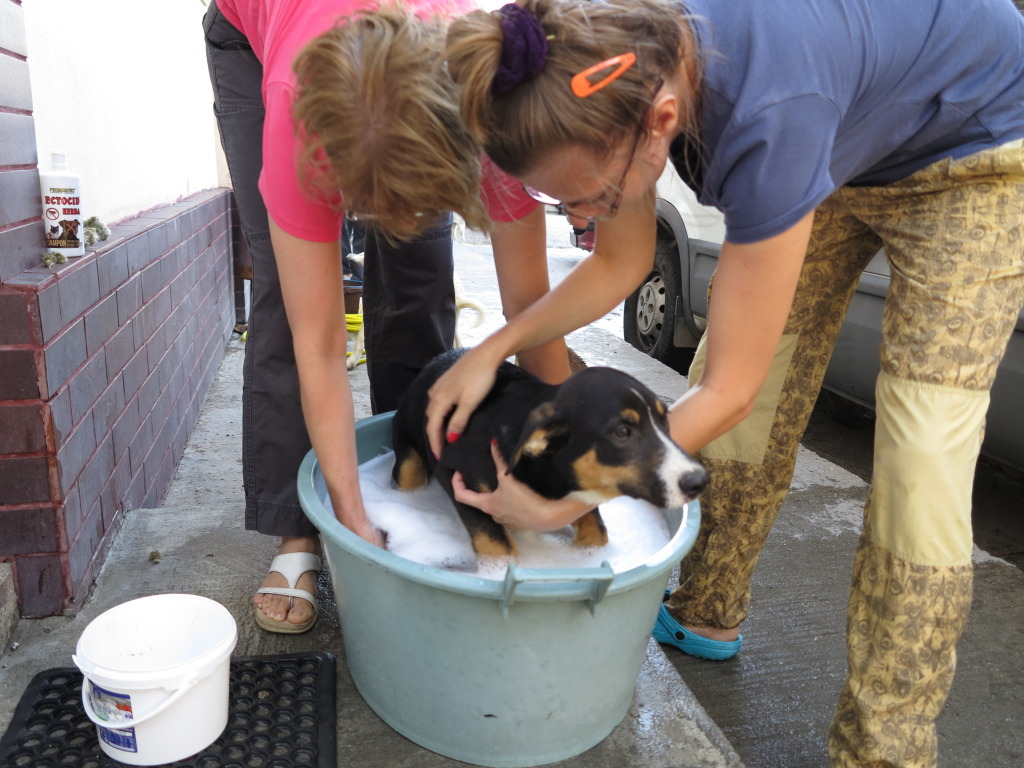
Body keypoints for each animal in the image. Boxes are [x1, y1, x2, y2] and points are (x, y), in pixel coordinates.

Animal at [387, 350, 708, 561]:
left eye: (665, 422)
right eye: (622, 432)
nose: (699, 481)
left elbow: (597, 534)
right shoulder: (456, 475)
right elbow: (498, 547)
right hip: (409, 459)